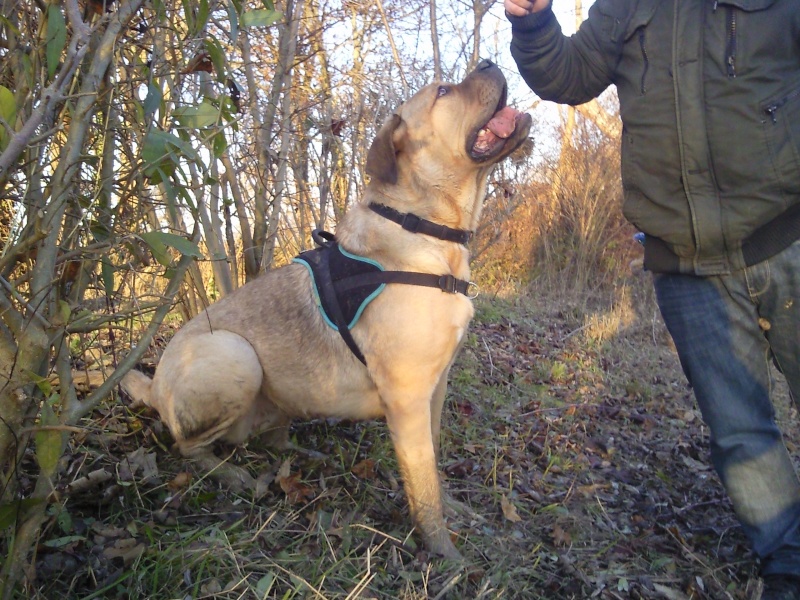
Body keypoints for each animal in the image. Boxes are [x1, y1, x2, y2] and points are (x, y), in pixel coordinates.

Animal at [122, 61, 528, 556]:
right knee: (187, 447)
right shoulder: (409, 399)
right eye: (444, 91)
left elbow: (433, 465)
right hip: (235, 355)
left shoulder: (436, 389)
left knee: (271, 438)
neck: (424, 229)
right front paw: (443, 552)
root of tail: (156, 386)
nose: (490, 62)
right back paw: (231, 474)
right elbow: (424, 486)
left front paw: (454, 511)